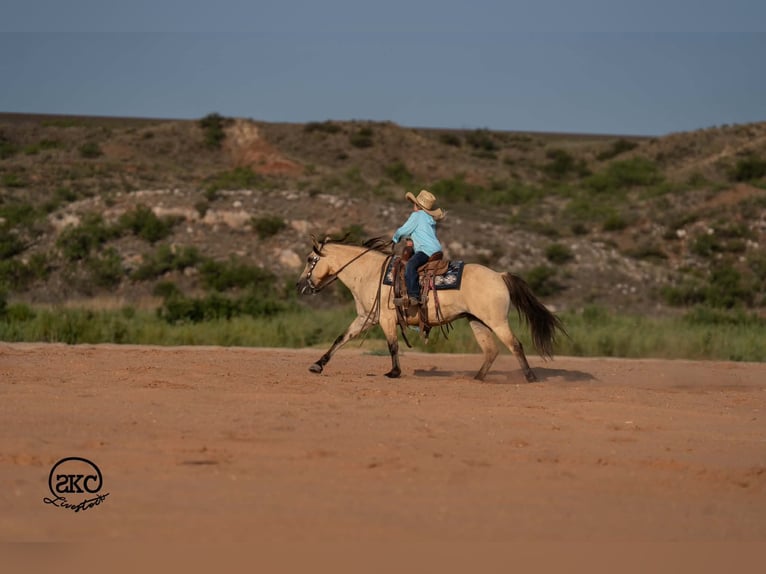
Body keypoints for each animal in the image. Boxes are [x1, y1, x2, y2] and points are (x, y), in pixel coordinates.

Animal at [296, 236, 566, 382]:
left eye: (310, 259)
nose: (299, 285)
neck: (370, 273)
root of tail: (499, 275)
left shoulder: (385, 319)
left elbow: (392, 345)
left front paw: (394, 372)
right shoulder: (366, 318)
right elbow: (340, 339)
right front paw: (317, 365)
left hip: (497, 321)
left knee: (515, 345)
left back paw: (530, 377)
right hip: (476, 321)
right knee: (491, 350)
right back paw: (477, 378)